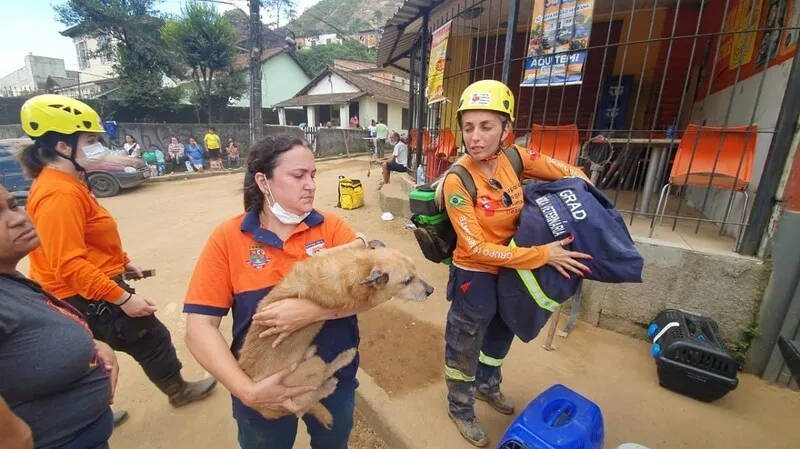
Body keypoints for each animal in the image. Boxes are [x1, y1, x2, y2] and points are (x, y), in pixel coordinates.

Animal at [238, 242, 434, 428]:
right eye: (407, 280)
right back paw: (339, 367)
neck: (356, 266)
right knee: (307, 401)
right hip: (310, 370)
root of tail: (263, 409)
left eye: (415, 270)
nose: (431, 290)